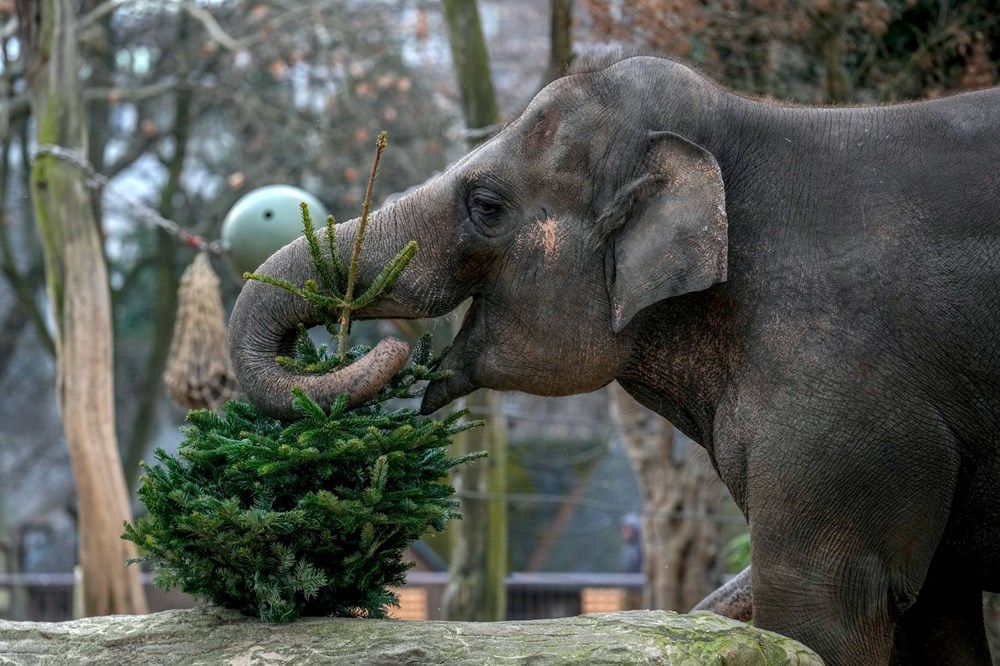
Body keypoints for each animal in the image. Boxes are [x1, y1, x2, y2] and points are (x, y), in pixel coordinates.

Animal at [230, 53, 1000, 664]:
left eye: (486, 204)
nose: (391, 348)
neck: (750, 123)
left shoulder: (846, 395)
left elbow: (822, 609)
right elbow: (935, 612)